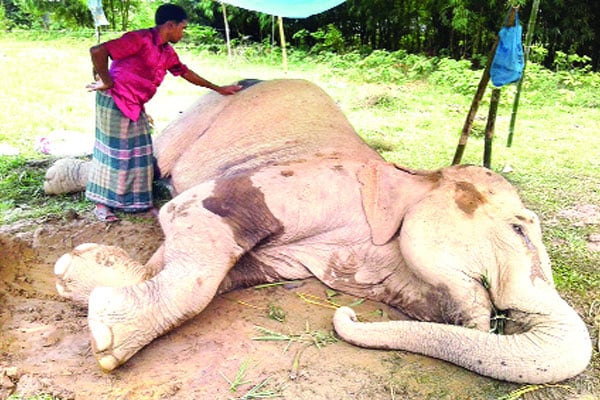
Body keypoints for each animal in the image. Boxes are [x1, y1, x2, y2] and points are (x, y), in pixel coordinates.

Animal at [50, 79, 592, 384]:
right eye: (520, 230)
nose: (346, 314)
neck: (411, 175)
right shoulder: (309, 181)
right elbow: (193, 214)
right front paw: (107, 335)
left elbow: (230, 269)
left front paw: (82, 273)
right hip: (200, 114)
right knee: (154, 160)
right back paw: (60, 177)